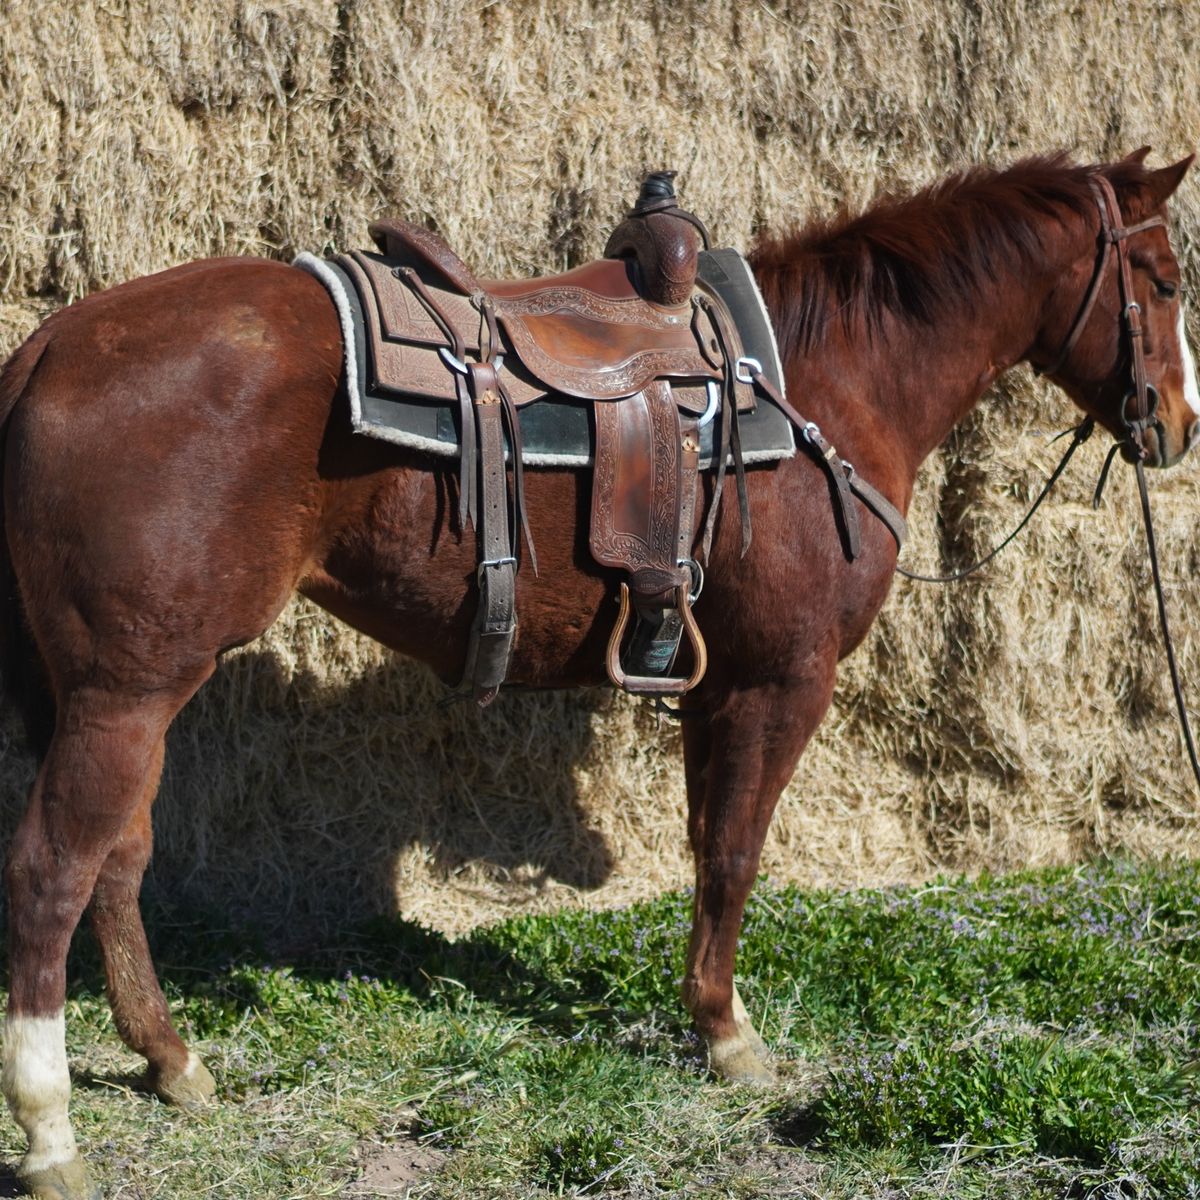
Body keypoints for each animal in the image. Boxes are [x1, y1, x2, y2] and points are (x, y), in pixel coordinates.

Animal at [0, 148, 1194, 1200]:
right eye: (1168, 281)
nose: (1176, 426)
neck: (830, 384)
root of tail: (48, 348)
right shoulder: (778, 684)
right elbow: (734, 856)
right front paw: (726, 1034)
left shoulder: (715, 687)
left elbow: (710, 848)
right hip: (123, 695)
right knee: (53, 874)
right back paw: (53, 1134)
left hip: (121, 691)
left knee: (119, 863)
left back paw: (170, 1060)